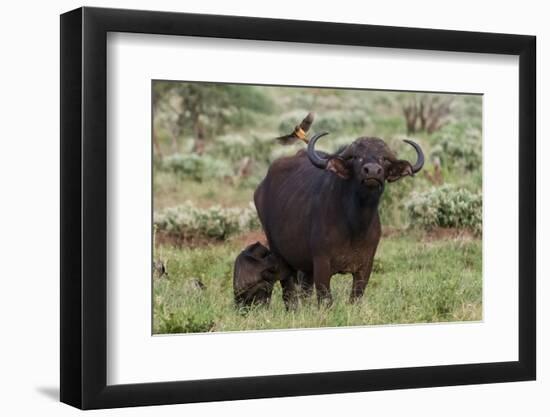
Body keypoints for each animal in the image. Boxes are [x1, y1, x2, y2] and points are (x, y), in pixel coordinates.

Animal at [256, 118, 426, 304]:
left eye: (384, 159)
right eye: (357, 157)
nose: (372, 171)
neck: (355, 225)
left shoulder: (365, 267)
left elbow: (355, 298)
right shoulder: (321, 265)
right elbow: (326, 300)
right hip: (279, 254)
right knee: (289, 293)